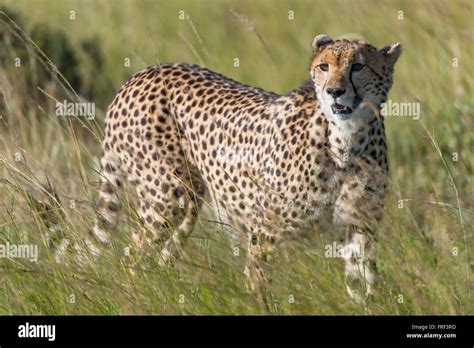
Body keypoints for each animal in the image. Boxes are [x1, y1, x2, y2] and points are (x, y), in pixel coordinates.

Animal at [91, 35, 400, 300]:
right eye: (324, 67)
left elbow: (361, 285)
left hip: (189, 202)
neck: (346, 141)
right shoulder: (264, 229)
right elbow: (260, 285)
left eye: (358, 66)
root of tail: (142, 74)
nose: (335, 91)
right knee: (132, 255)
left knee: (164, 254)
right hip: (169, 196)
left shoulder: (360, 227)